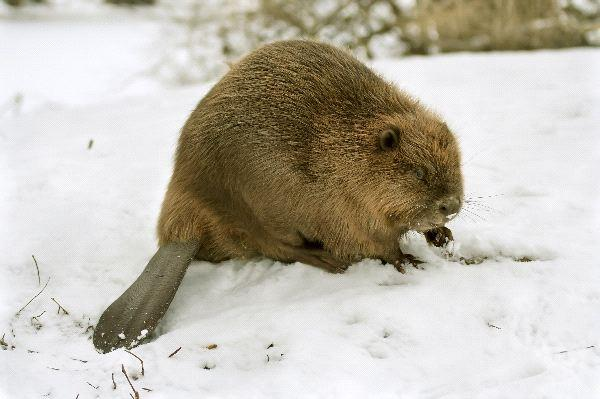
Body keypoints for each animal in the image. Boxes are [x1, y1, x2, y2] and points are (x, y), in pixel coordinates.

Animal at [92, 39, 464, 354]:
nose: (452, 205)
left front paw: (443, 236)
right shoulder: (336, 205)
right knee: (278, 247)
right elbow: (371, 242)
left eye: (456, 163)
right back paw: (327, 260)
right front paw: (409, 260)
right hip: (261, 208)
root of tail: (179, 236)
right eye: (418, 173)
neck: (344, 149)